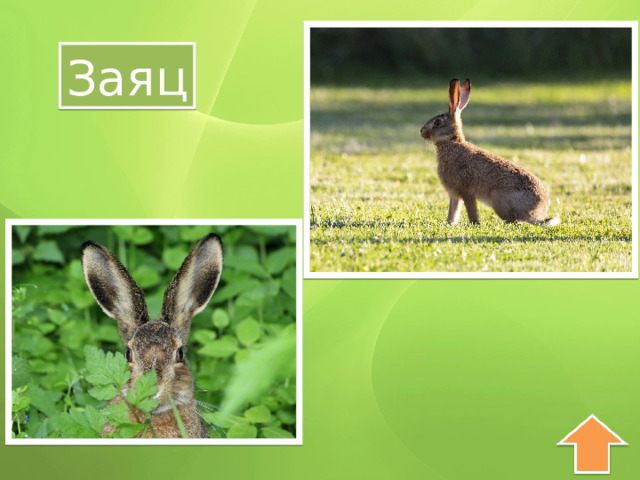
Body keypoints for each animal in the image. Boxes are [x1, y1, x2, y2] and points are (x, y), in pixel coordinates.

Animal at [420, 78, 560, 227]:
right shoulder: (454, 193)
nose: (422, 131)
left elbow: (471, 209)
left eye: (437, 122)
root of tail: (537, 214)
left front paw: (475, 223)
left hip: (499, 201)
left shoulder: (465, 191)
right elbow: (453, 210)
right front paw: (449, 223)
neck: (451, 142)